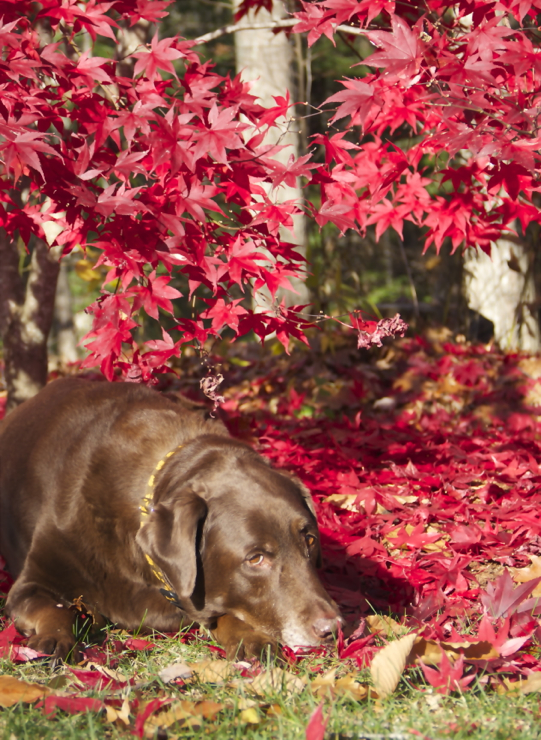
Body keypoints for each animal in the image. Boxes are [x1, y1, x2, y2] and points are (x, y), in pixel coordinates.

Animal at [0, 378, 340, 656]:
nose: (333, 629)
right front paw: (54, 639)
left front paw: (250, 637)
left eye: (310, 540)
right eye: (255, 559)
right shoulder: (30, 584)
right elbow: (56, 610)